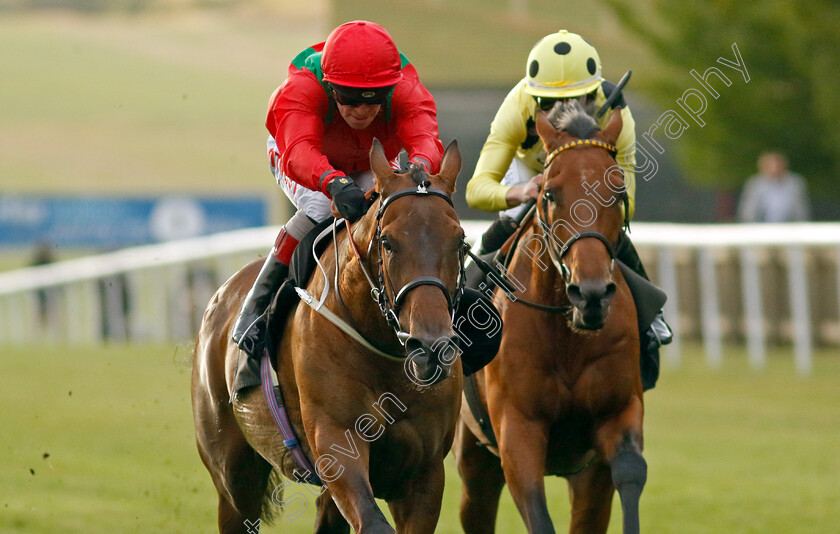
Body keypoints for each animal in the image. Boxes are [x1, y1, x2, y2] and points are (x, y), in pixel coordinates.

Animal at [192, 140, 466, 532]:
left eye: (460, 241)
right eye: (387, 241)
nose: (430, 348)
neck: (385, 354)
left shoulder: (423, 474)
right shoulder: (337, 445)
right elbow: (372, 522)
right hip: (233, 477)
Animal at [456, 102, 648, 532]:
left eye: (619, 193)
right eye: (549, 194)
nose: (590, 293)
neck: (567, 334)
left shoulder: (618, 411)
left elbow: (631, 471)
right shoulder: (517, 429)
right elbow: (537, 512)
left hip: (587, 477)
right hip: (473, 456)